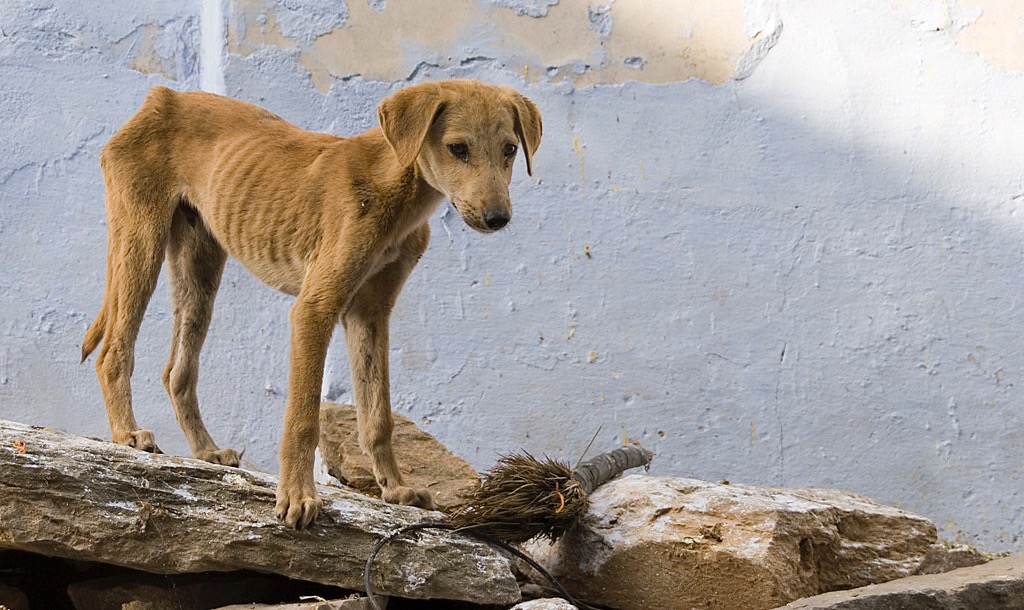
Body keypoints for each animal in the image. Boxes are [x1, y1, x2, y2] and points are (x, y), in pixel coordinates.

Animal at [78, 79, 540, 528]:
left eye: (510, 150)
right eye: (458, 148)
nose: (499, 218)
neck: (394, 187)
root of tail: (160, 97)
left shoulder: (369, 314)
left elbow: (378, 416)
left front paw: (394, 489)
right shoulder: (314, 309)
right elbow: (303, 417)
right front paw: (298, 497)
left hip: (199, 269)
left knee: (177, 372)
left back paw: (206, 451)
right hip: (140, 240)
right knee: (114, 351)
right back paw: (127, 434)